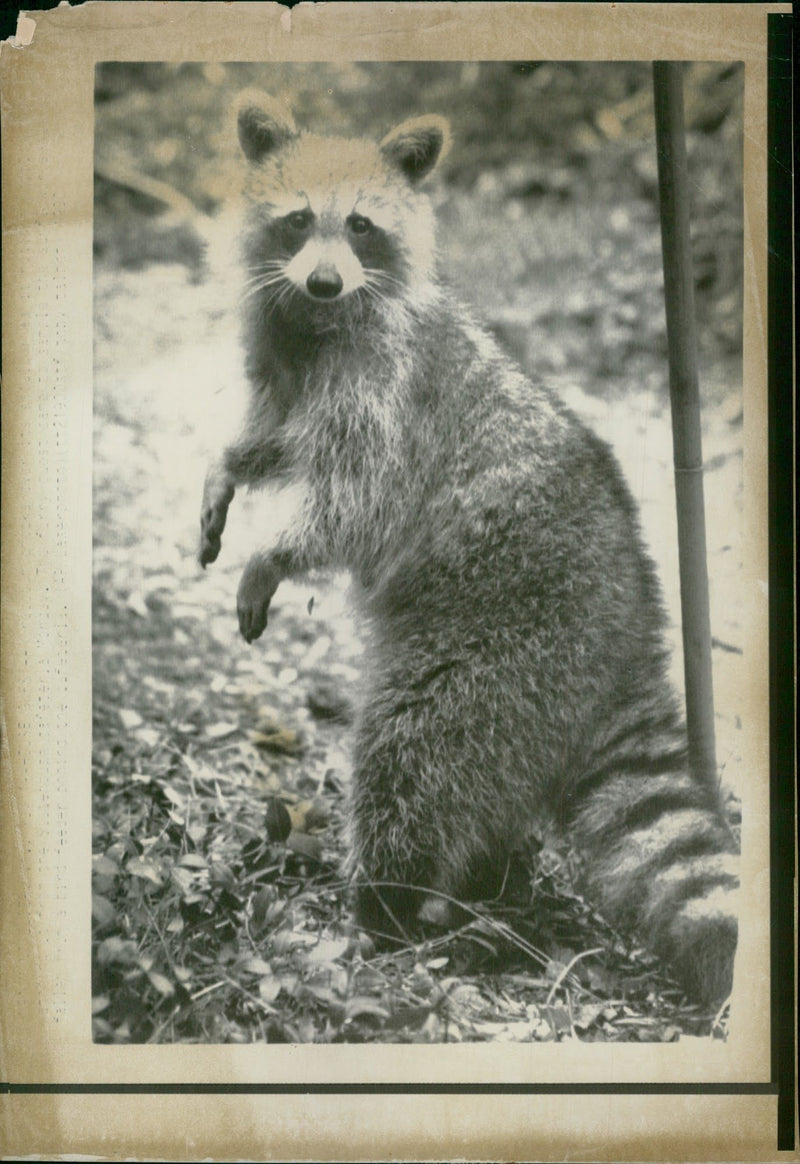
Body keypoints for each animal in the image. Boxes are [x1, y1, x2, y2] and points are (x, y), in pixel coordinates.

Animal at [200, 90, 740, 1005]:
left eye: (362, 225)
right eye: (300, 218)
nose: (323, 278)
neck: (323, 314)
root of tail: (629, 639)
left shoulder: (385, 393)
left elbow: (353, 506)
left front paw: (273, 555)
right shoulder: (287, 360)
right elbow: (276, 437)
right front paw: (228, 467)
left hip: (504, 646)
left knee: (412, 761)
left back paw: (383, 911)